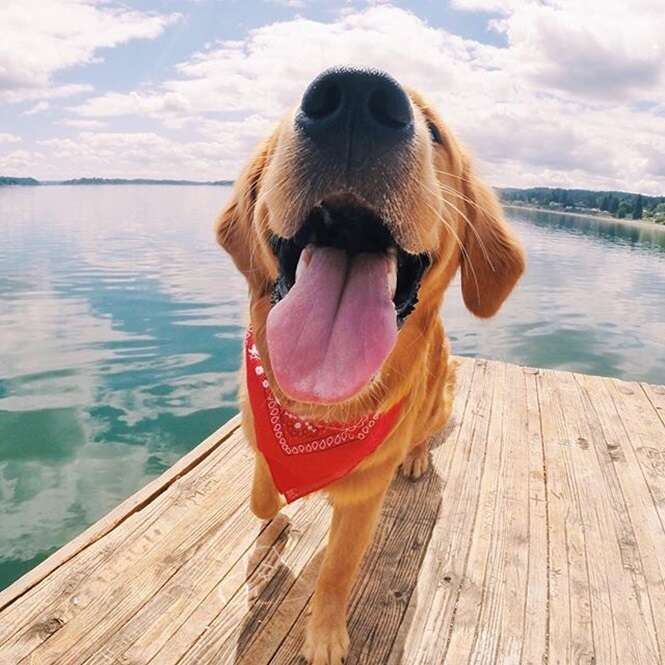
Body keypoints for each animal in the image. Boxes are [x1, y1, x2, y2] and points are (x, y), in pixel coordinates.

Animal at [215, 65, 520, 660]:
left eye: (435, 131)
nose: (357, 94)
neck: (317, 414)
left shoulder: (364, 494)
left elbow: (337, 570)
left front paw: (325, 636)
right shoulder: (257, 428)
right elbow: (261, 494)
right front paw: (270, 527)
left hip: (438, 398)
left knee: (425, 432)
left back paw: (418, 457)